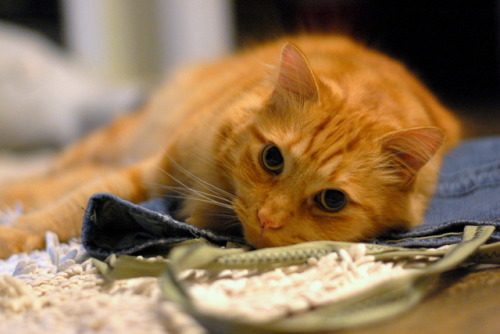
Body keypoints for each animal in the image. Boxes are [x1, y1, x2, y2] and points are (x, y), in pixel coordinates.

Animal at [0, 35, 460, 258]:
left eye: (332, 200)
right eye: (272, 159)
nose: (267, 218)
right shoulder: (152, 170)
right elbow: (62, 210)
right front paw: (12, 235)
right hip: (118, 144)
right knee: (52, 176)